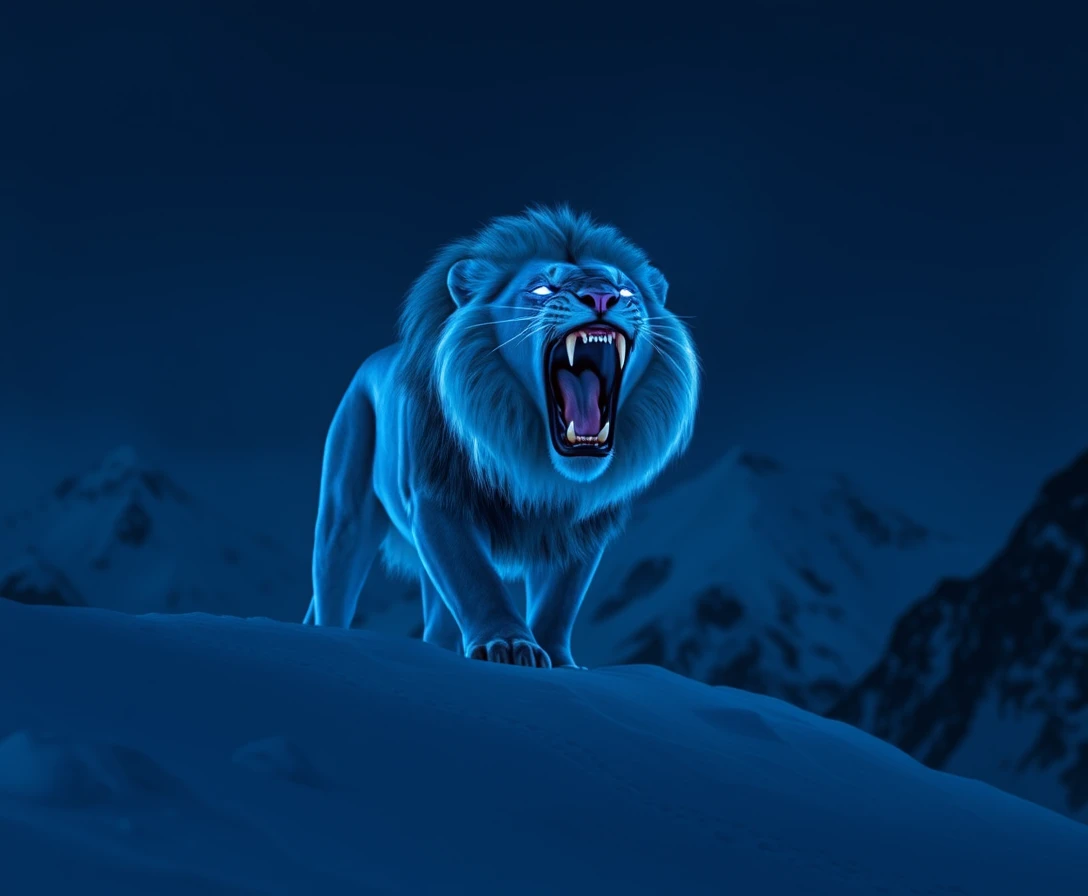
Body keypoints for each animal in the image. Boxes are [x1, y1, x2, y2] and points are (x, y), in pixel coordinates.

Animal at [303, 205, 700, 668]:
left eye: (626, 290)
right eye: (544, 288)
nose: (603, 298)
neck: (535, 464)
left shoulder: (578, 527)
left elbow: (559, 601)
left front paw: (559, 661)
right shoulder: (436, 498)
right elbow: (475, 579)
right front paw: (508, 647)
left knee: (438, 620)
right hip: (344, 507)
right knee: (334, 586)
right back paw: (332, 642)